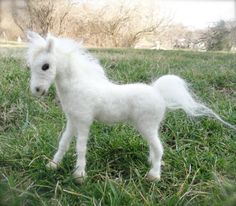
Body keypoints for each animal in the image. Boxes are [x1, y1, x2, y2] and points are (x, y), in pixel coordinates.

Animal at [26, 31, 234, 181]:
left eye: (45, 66)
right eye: (29, 67)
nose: (36, 90)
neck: (79, 85)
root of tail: (159, 93)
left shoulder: (84, 122)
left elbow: (80, 147)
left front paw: (79, 175)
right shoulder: (73, 121)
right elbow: (63, 143)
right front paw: (53, 165)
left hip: (146, 125)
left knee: (159, 147)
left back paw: (154, 176)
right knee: (154, 147)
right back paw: (152, 162)